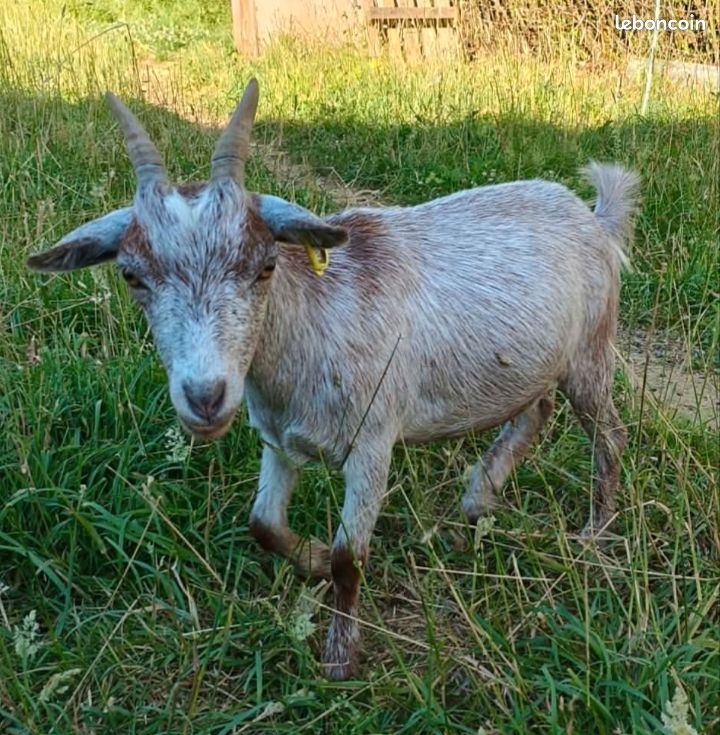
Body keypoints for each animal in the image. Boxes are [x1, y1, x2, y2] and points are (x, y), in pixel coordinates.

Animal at [28, 79, 639, 680]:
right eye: (132, 276)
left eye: (265, 265)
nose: (205, 397)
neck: (316, 322)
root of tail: (594, 218)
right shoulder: (278, 439)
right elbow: (262, 524)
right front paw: (315, 560)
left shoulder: (372, 442)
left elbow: (352, 558)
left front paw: (340, 657)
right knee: (536, 410)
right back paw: (479, 497)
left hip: (591, 350)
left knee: (608, 434)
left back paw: (593, 532)